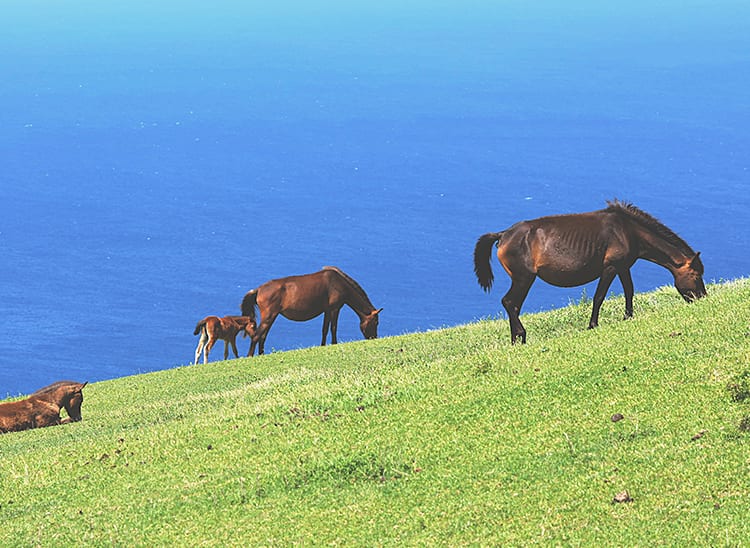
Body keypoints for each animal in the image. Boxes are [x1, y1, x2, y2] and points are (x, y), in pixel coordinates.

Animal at [241, 266, 382, 356]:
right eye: (376, 322)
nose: (374, 337)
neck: (339, 283)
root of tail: (258, 289)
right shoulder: (335, 309)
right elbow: (333, 328)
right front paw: (334, 344)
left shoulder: (327, 310)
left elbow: (325, 329)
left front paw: (323, 345)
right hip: (269, 316)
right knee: (257, 335)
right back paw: (250, 355)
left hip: (271, 316)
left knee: (262, 336)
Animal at [478, 201, 708, 344]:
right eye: (696, 276)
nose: (703, 298)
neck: (628, 230)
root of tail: (504, 235)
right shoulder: (610, 268)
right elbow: (599, 297)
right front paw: (592, 325)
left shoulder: (623, 267)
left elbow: (629, 291)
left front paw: (628, 316)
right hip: (524, 278)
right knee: (510, 303)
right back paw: (521, 335)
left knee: (513, 305)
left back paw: (515, 340)